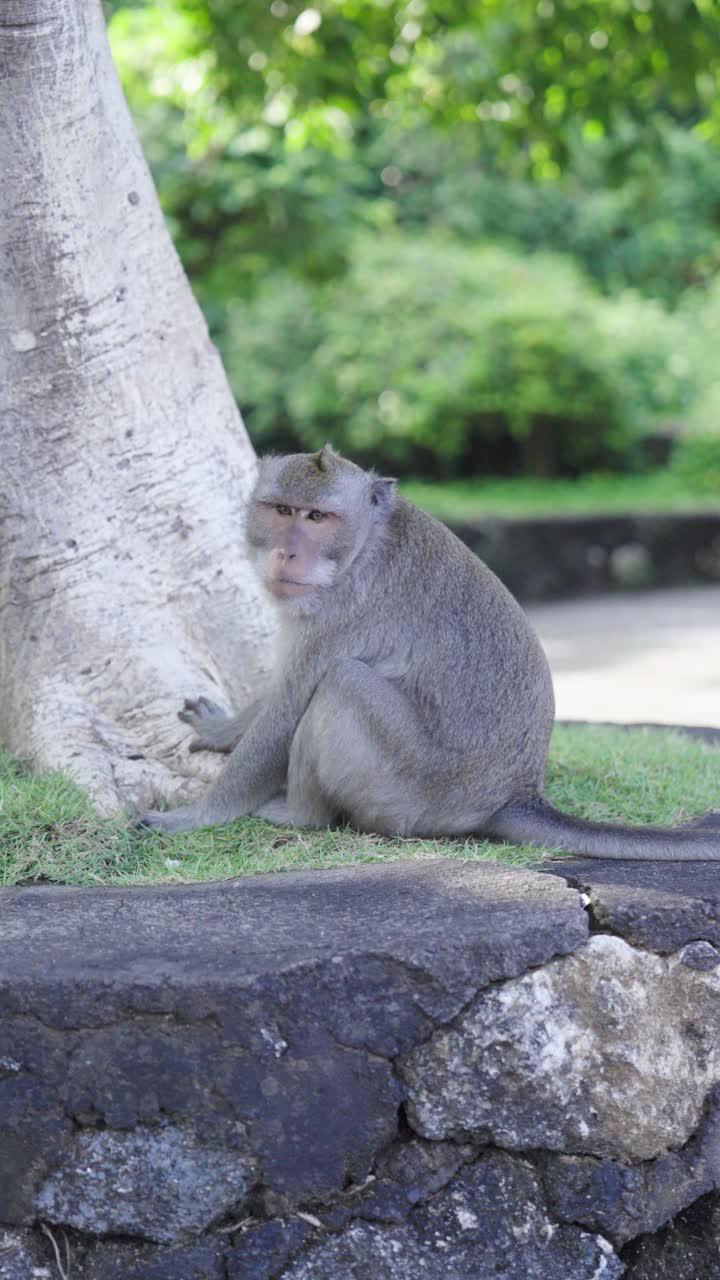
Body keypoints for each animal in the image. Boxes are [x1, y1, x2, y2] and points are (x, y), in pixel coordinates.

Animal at [139, 445, 720, 859]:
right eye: (282, 510)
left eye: (319, 518)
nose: (289, 553)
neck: (362, 547)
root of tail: (515, 793)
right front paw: (221, 729)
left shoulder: (340, 613)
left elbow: (286, 709)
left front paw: (198, 815)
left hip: (410, 790)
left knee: (343, 683)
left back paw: (299, 815)